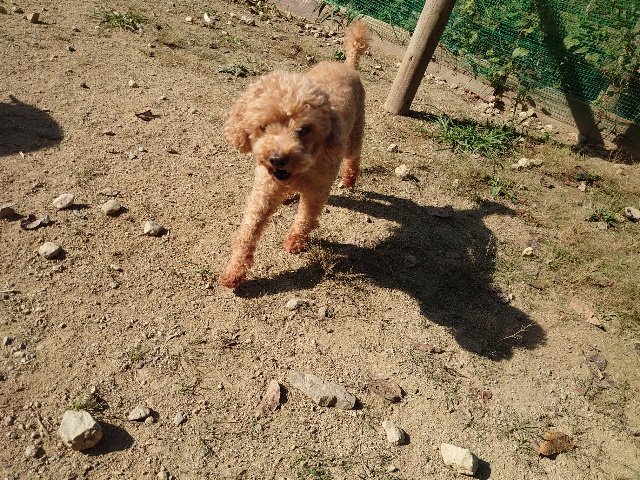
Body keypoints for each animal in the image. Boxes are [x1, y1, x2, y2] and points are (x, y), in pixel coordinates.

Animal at [220, 21, 370, 289]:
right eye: (263, 127)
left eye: (304, 130)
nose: (277, 159)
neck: (299, 172)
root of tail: (347, 63)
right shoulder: (264, 191)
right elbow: (248, 231)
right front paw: (233, 272)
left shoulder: (317, 192)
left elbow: (306, 218)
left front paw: (295, 242)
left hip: (355, 133)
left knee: (354, 156)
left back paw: (350, 179)